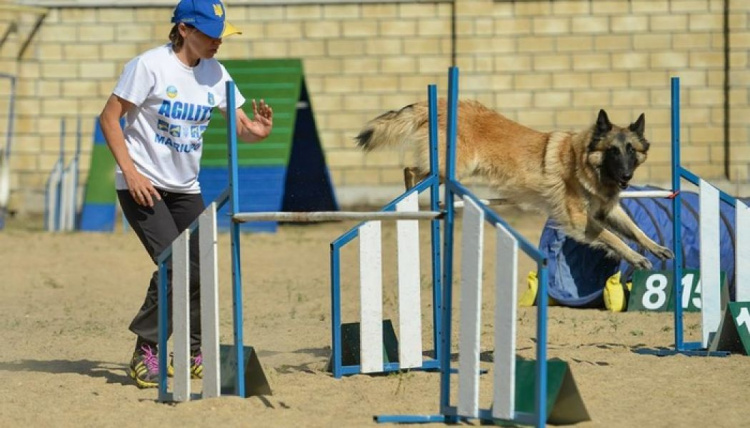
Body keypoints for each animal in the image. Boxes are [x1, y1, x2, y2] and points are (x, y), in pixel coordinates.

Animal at [356, 98, 680, 270]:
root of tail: (440, 102)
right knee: (410, 169)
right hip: (453, 167)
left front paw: (656, 248)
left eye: (631, 151)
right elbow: (613, 238)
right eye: (613, 151)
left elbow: (634, 230)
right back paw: (409, 195)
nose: (626, 177)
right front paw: (636, 258)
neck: (583, 162)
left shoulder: (607, 210)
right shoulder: (580, 220)